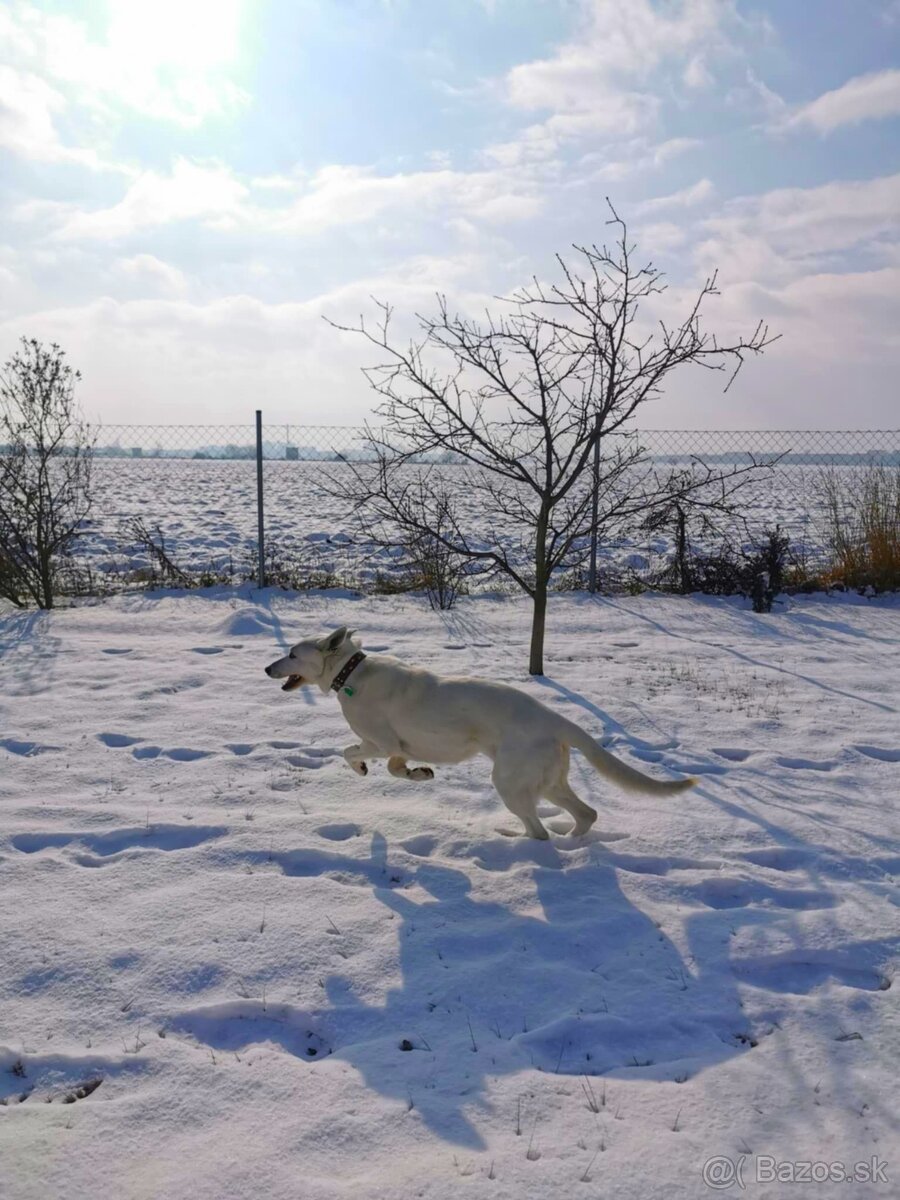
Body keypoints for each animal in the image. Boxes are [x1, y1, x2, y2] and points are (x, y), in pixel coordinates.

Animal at [264, 627, 696, 840]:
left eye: (292, 653)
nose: (267, 668)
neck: (350, 674)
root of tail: (556, 719)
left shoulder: (381, 742)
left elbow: (357, 754)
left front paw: (380, 770)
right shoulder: (390, 745)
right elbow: (384, 763)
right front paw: (413, 773)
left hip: (509, 782)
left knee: (539, 832)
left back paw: (516, 844)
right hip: (546, 781)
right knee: (586, 814)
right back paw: (574, 843)